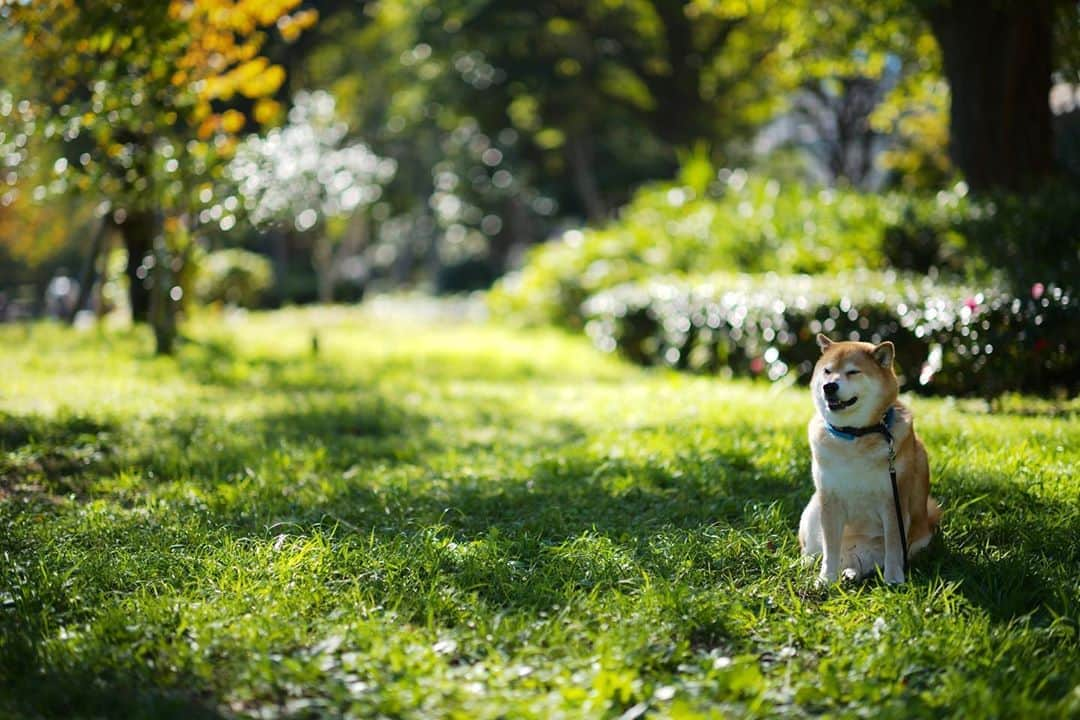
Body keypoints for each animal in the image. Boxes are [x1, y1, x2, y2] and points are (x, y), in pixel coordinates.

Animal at [799, 334, 941, 582]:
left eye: (853, 372)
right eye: (827, 371)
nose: (829, 386)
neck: (855, 436)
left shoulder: (893, 502)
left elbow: (893, 547)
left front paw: (894, 579)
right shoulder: (830, 499)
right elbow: (830, 547)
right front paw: (826, 579)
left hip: (918, 537)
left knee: (869, 562)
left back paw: (851, 573)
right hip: (812, 510)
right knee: (816, 550)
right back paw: (811, 563)